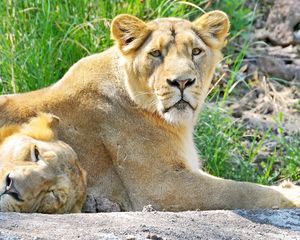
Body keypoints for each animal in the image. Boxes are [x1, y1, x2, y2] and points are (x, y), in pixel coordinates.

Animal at [0, 10, 298, 212]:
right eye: (155, 53)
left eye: (196, 51)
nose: (182, 81)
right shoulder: (161, 186)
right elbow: (243, 191)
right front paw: (292, 195)